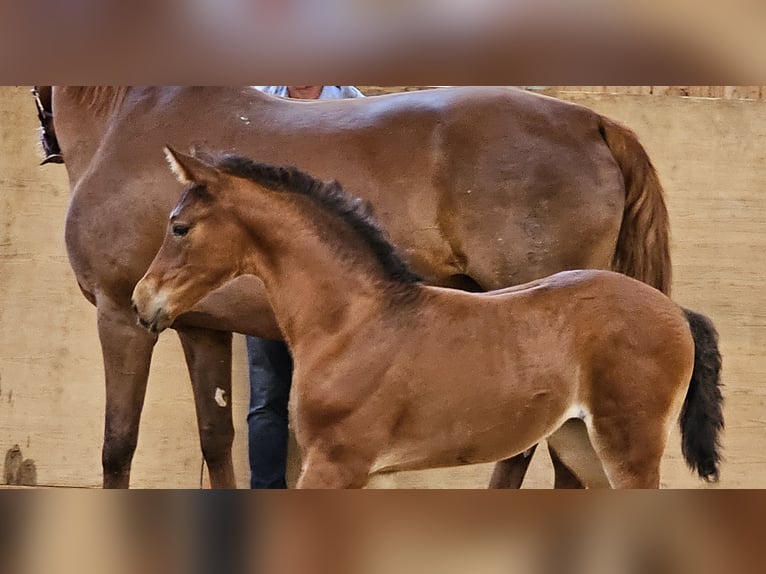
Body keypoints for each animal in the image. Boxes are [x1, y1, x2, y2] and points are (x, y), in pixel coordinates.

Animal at [134, 152, 728, 490]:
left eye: (179, 227)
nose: (142, 302)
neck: (353, 320)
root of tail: (675, 311)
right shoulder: (358, 470)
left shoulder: (336, 463)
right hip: (578, 440)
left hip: (630, 444)